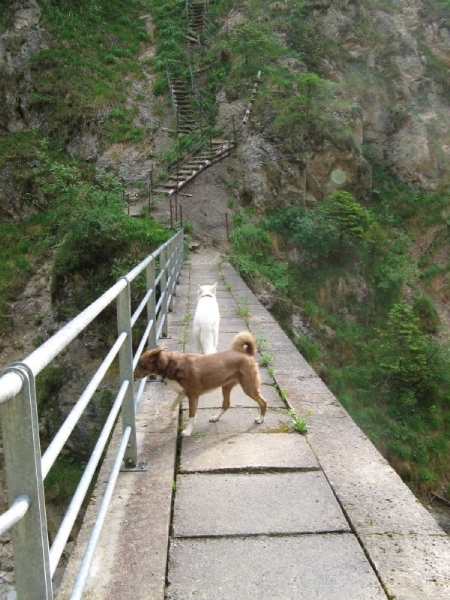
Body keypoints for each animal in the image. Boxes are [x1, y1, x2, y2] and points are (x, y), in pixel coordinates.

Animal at [134, 332, 268, 436]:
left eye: (141, 364)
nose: (133, 376)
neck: (170, 364)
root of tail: (246, 353)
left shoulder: (193, 396)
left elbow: (191, 416)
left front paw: (187, 431)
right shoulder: (182, 393)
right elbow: (171, 406)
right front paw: (171, 417)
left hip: (249, 387)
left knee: (263, 402)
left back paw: (261, 420)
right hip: (226, 386)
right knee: (226, 404)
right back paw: (216, 417)